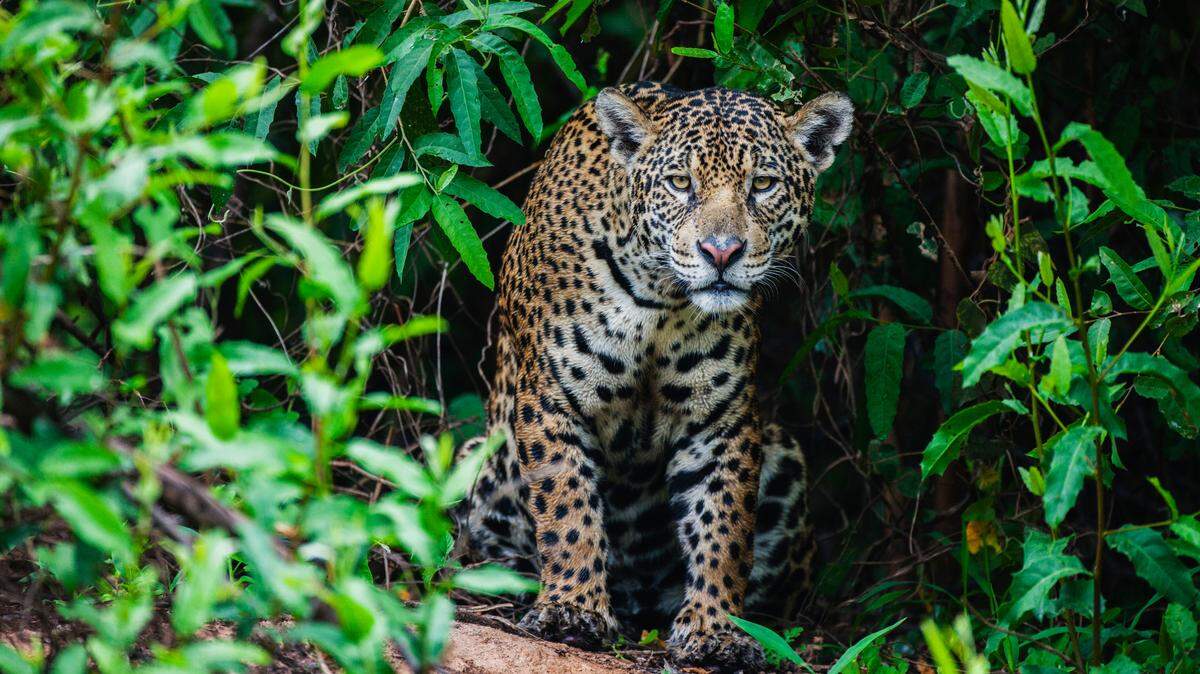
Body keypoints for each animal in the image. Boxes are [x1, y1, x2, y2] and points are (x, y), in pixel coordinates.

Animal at [459, 81, 853, 671]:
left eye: (762, 185)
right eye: (680, 183)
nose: (721, 253)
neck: (662, 300)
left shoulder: (720, 422)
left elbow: (724, 526)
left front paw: (716, 629)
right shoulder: (550, 399)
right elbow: (567, 506)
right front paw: (572, 608)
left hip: (784, 457)